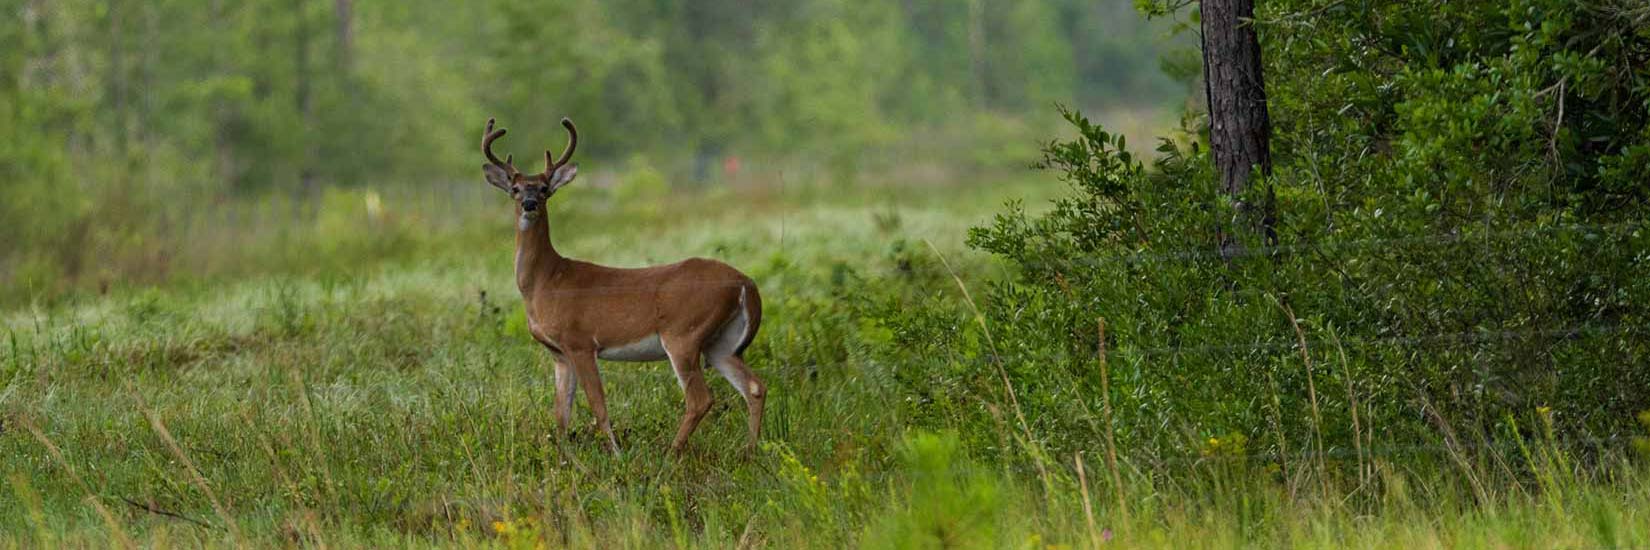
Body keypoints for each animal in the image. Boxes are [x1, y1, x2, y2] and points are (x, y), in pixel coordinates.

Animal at [475, 116, 762, 452]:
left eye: (545, 189)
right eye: (515, 189)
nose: (530, 203)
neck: (547, 280)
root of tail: (747, 283)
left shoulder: (580, 342)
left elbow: (598, 406)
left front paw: (615, 454)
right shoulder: (559, 354)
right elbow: (561, 415)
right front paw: (563, 457)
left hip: (683, 334)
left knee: (701, 398)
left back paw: (671, 453)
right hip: (721, 343)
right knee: (754, 386)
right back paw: (750, 452)